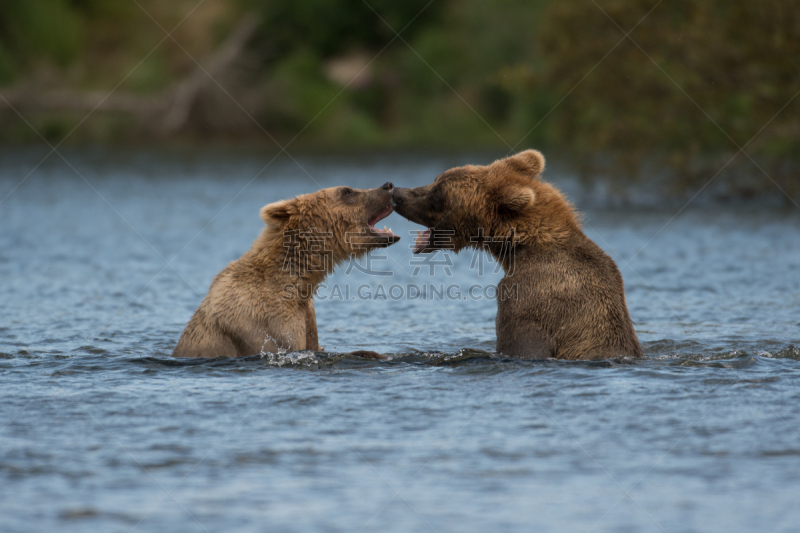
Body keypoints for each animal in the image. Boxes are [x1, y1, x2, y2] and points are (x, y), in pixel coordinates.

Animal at [175, 182, 400, 358]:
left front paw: (374, 353)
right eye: (347, 191)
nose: (388, 185)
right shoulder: (267, 324)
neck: (299, 280)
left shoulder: (306, 316)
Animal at [394, 151, 644, 362]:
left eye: (439, 195)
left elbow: (521, 344)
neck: (520, 248)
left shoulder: (526, 300)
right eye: (436, 179)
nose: (397, 194)